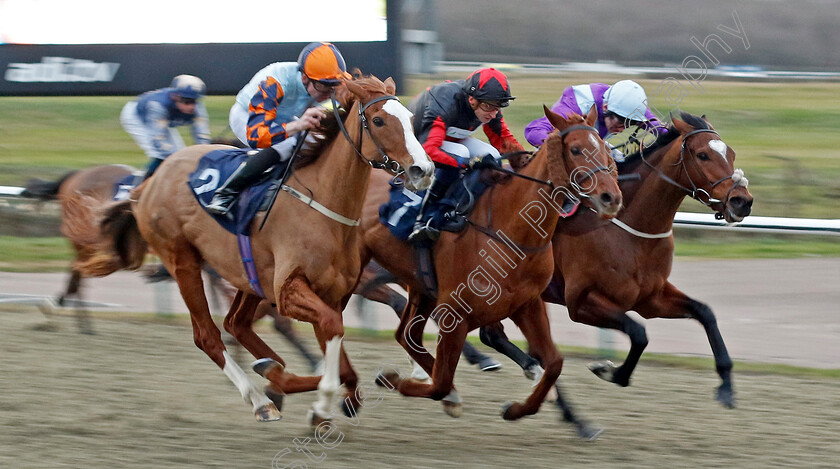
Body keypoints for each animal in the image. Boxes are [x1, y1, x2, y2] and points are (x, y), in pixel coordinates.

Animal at [83, 76, 434, 420]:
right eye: (378, 120)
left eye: (411, 119)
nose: (424, 170)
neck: (323, 205)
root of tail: (149, 184)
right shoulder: (289, 291)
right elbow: (334, 333)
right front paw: (323, 401)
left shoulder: (332, 293)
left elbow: (337, 346)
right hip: (182, 262)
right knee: (208, 335)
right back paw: (260, 398)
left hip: (247, 275)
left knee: (236, 324)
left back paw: (272, 375)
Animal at [358, 106, 620, 432]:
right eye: (575, 149)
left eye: (606, 149)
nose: (612, 198)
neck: (513, 231)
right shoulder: (455, 314)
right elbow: (440, 383)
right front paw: (391, 378)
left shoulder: (527, 304)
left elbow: (555, 364)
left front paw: (517, 408)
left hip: (421, 288)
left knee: (406, 335)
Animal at [480, 111, 756, 408]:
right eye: (703, 155)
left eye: (731, 153)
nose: (742, 201)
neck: (629, 231)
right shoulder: (581, 302)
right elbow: (638, 333)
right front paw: (609, 371)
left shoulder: (651, 298)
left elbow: (705, 313)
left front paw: (726, 386)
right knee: (491, 333)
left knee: (492, 334)